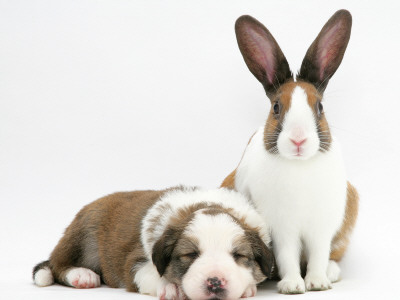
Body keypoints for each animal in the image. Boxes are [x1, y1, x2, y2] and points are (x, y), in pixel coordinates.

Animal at [33, 186, 276, 298]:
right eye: (190, 255)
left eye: (239, 256)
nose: (215, 281)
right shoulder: (135, 262)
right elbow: (149, 273)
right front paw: (170, 287)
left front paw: (247, 288)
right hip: (85, 229)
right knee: (57, 264)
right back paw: (82, 275)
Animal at [222, 9, 360, 296]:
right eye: (276, 107)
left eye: (319, 107)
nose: (299, 139)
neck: (300, 166)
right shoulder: (281, 229)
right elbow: (287, 257)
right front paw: (293, 286)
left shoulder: (321, 228)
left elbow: (319, 255)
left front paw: (318, 283)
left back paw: (332, 273)